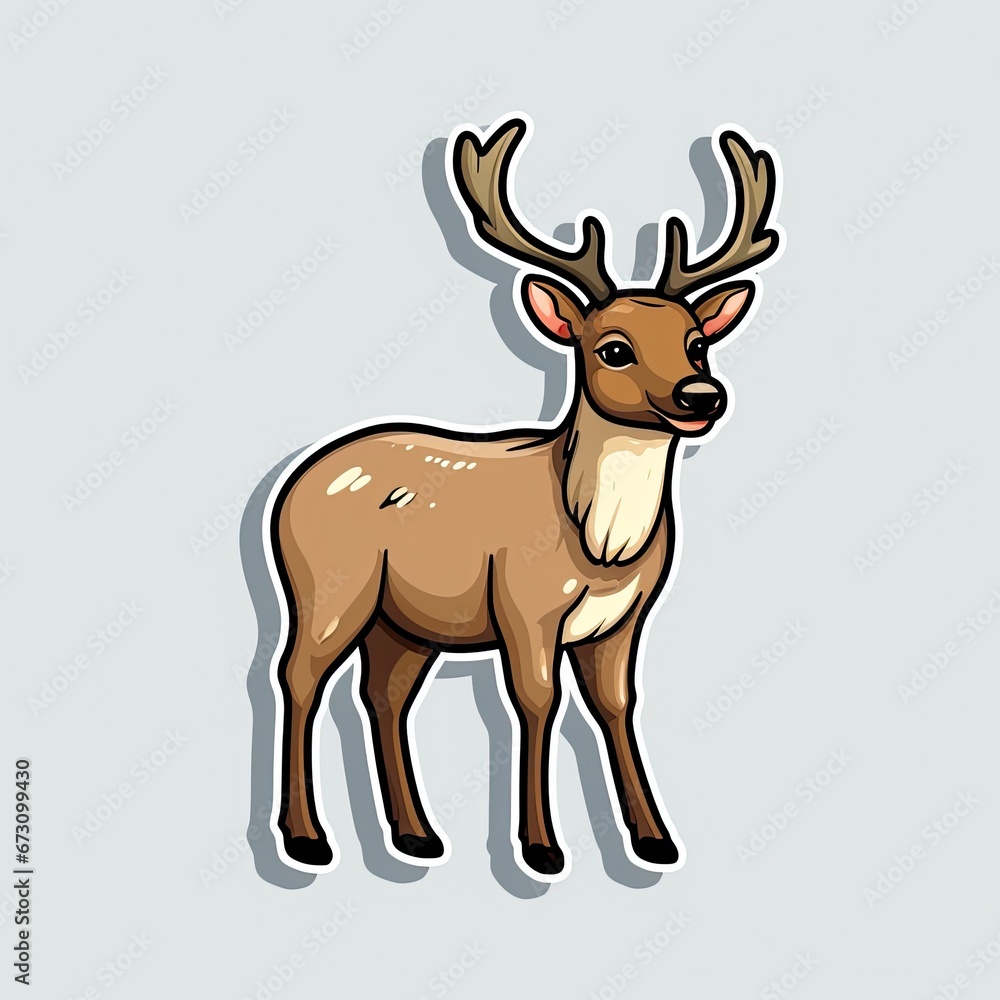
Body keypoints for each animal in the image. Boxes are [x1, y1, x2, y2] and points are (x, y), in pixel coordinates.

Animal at [261, 113, 782, 879]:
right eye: (613, 348)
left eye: (696, 341)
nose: (702, 396)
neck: (600, 548)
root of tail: (288, 484)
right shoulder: (522, 602)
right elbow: (538, 702)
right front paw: (541, 848)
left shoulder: (625, 618)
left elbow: (617, 705)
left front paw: (654, 840)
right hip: (327, 583)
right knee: (297, 677)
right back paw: (306, 838)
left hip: (406, 621)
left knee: (383, 693)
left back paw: (417, 836)